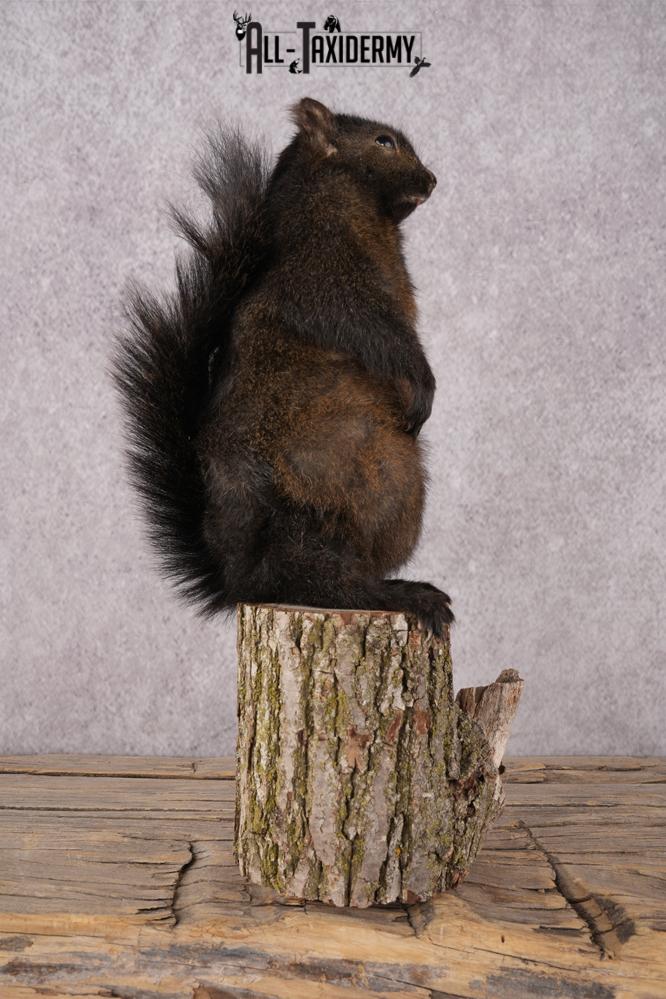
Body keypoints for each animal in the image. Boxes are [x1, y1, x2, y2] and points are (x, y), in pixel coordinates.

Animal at [113, 97, 453, 635]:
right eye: (383, 141)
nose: (432, 179)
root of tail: (241, 581)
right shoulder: (330, 285)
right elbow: (388, 339)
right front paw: (424, 387)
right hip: (347, 491)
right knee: (322, 580)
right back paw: (403, 594)